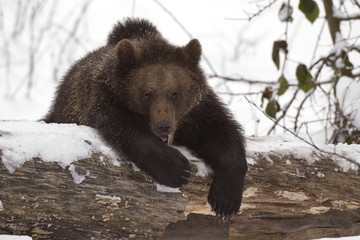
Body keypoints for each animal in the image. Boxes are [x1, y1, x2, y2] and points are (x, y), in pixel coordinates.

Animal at [44, 17, 248, 218]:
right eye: (147, 94)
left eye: (175, 93)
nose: (164, 125)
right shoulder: (105, 98)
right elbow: (124, 128)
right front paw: (177, 168)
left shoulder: (197, 111)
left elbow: (221, 131)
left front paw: (225, 199)